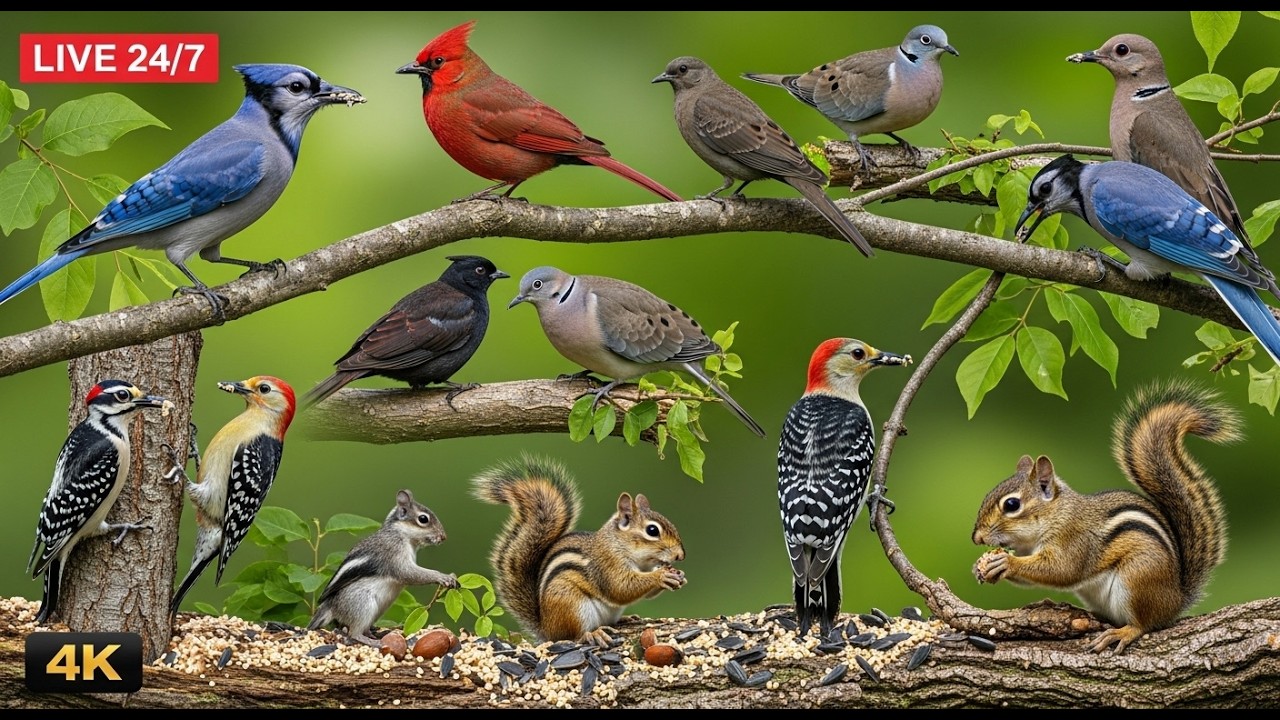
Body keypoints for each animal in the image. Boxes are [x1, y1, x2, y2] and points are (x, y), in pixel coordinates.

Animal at [307, 489, 459, 646]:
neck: (400, 533)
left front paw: (452, 576)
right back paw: (375, 642)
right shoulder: (394, 554)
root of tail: (329, 605)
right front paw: (443, 577)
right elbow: (409, 574)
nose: (443, 537)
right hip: (362, 604)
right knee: (354, 633)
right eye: (423, 519)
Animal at [471, 454, 687, 647]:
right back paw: (592, 634)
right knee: (571, 636)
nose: (681, 555)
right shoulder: (606, 564)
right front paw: (661, 575)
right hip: (571, 605)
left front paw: (678, 576)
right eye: (652, 531)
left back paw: (627, 619)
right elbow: (621, 587)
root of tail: (546, 628)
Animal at [970, 379, 1241, 654]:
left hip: (1138, 578)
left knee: (1145, 624)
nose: (976, 537)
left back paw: (1123, 632)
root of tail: (1176, 599)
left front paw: (1006, 562)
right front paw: (985, 567)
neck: (1056, 515)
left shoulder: (1076, 540)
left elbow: (1061, 570)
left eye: (1012, 504)